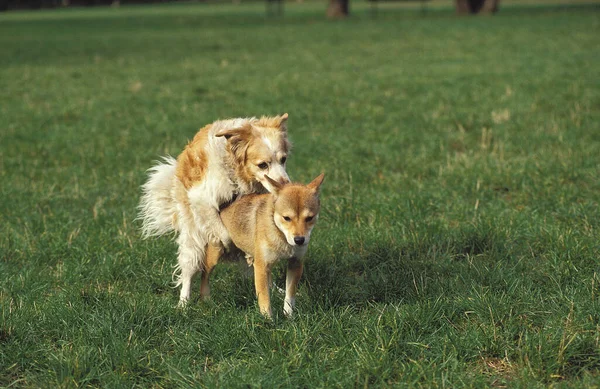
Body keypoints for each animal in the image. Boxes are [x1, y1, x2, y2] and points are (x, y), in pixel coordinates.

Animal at [139, 113, 292, 304]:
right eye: (263, 165)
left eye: (283, 160)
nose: (285, 185)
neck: (235, 168)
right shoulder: (202, 199)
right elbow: (224, 234)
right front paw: (226, 245)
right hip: (192, 238)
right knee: (188, 271)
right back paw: (183, 303)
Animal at [200, 174, 324, 318]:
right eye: (286, 218)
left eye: (309, 218)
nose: (299, 240)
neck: (281, 237)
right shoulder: (261, 265)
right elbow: (264, 298)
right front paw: (268, 319)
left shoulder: (295, 263)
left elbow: (290, 295)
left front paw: (288, 315)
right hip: (214, 256)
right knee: (204, 276)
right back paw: (206, 299)